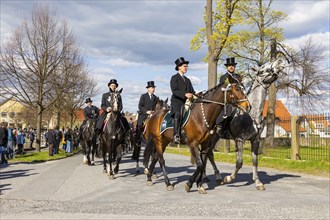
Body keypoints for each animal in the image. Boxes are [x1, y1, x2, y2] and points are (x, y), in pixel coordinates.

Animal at [206, 57, 286, 190]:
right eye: (263, 69)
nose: (280, 61)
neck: (251, 113)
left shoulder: (255, 140)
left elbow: (255, 161)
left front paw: (258, 182)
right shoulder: (240, 139)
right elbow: (239, 162)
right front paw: (229, 178)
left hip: (215, 137)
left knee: (208, 153)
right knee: (207, 153)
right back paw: (216, 177)